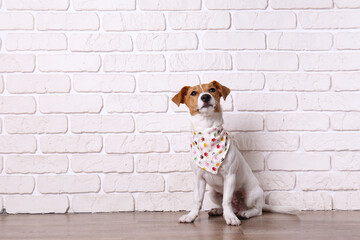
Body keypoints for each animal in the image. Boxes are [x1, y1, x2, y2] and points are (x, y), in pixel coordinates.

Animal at [172, 81, 298, 226]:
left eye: (212, 89)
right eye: (193, 93)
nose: (205, 96)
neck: (208, 131)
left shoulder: (230, 176)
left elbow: (226, 200)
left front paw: (230, 217)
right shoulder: (198, 178)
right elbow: (197, 200)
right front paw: (191, 216)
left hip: (251, 194)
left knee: (257, 210)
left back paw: (245, 213)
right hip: (213, 194)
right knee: (226, 204)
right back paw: (218, 210)